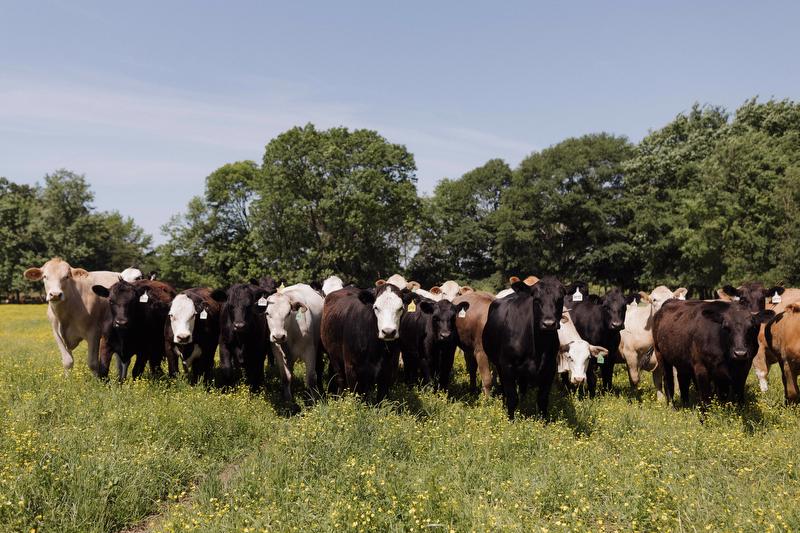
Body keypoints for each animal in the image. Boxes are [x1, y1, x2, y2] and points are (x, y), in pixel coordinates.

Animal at [482, 276, 566, 419]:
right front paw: (511, 420)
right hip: (499, 365)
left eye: (560, 299)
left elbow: (543, 399)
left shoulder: (550, 368)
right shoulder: (507, 365)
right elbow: (512, 397)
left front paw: (543, 421)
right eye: (536, 299)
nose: (549, 323)